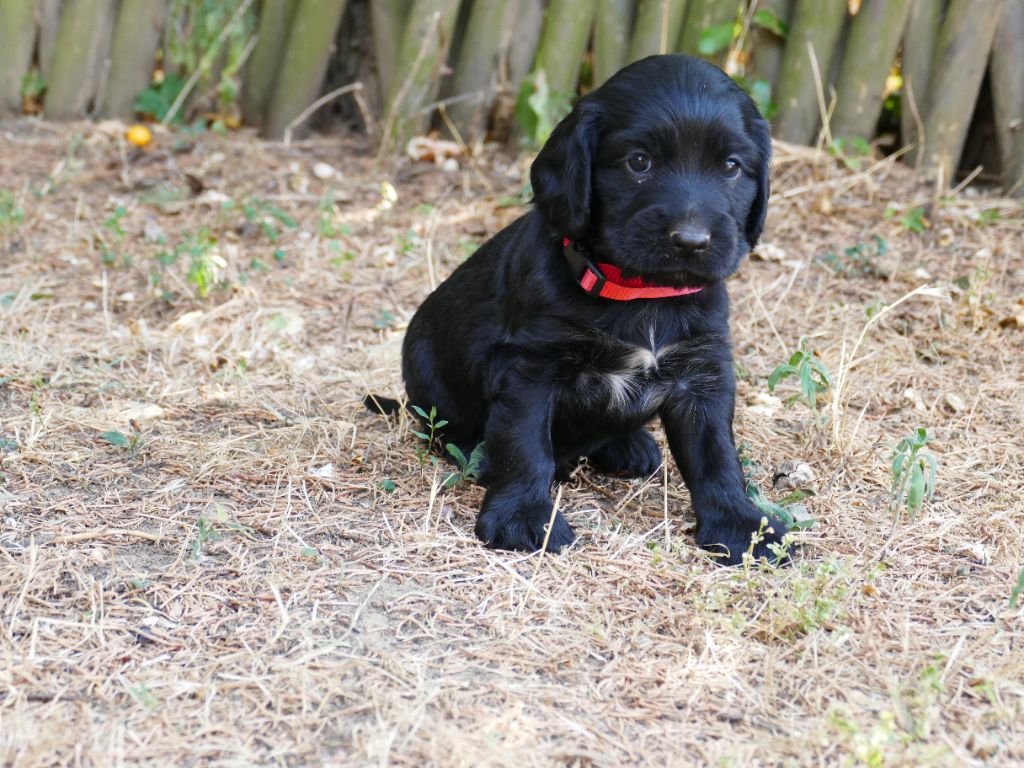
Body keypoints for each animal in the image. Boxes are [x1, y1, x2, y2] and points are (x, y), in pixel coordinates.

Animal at [380, 52, 786, 561]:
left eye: (732, 166)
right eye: (638, 162)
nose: (691, 241)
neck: (640, 294)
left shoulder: (702, 372)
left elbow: (716, 456)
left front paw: (741, 525)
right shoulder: (530, 369)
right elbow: (523, 446)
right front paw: (522, 517)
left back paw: (628, 445)